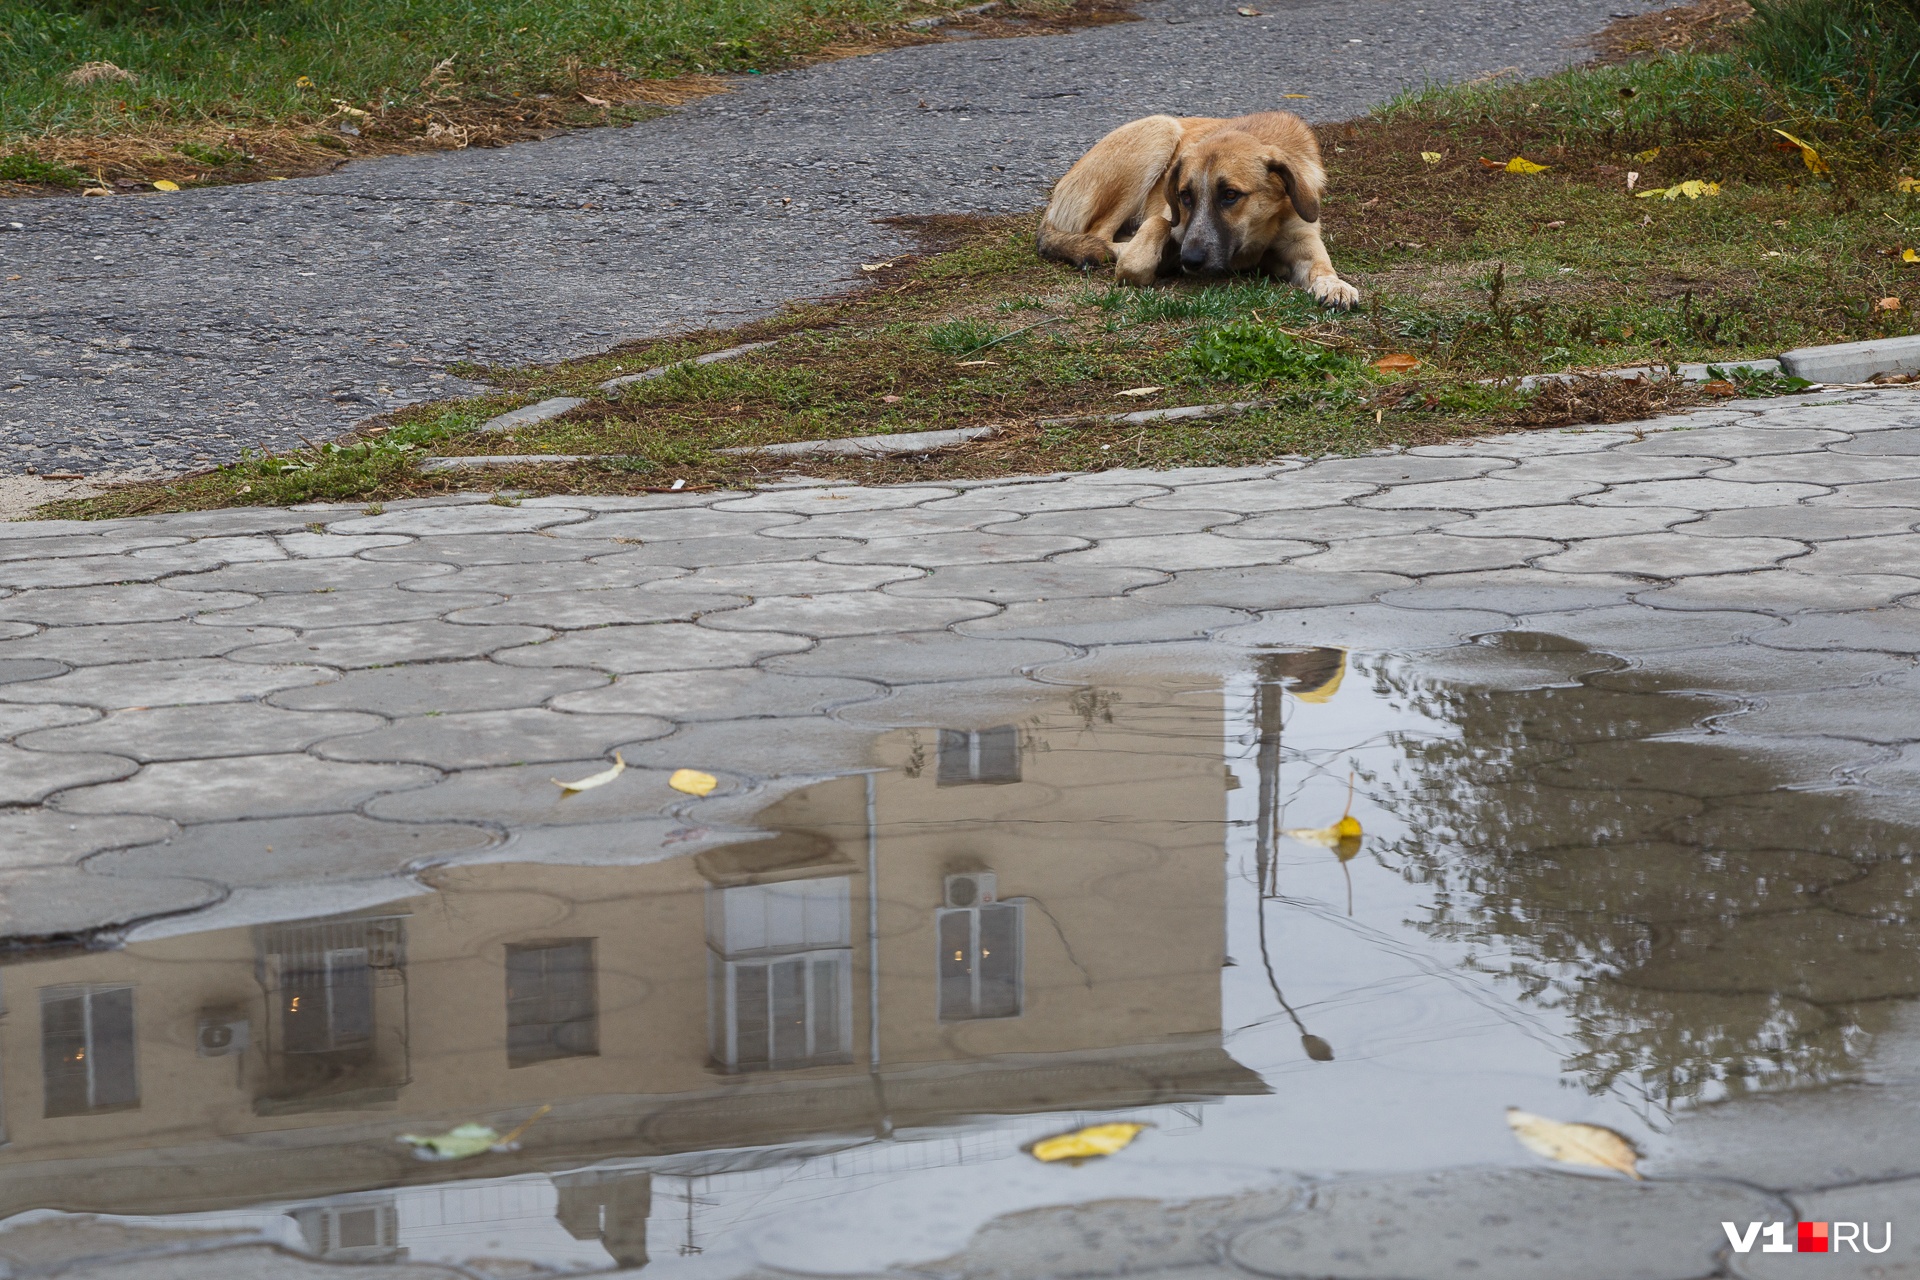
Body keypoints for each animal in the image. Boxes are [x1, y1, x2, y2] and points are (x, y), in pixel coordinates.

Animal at [1036, 111, 1367, 308]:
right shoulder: (1173, 221)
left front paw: (1335, 285)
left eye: (1230, 195)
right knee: (1099, 235)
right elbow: (1152, 234)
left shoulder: (1302, 238)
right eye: (1185, 196)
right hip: (1160, 129)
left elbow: (1322, 267)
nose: (1190, 260)